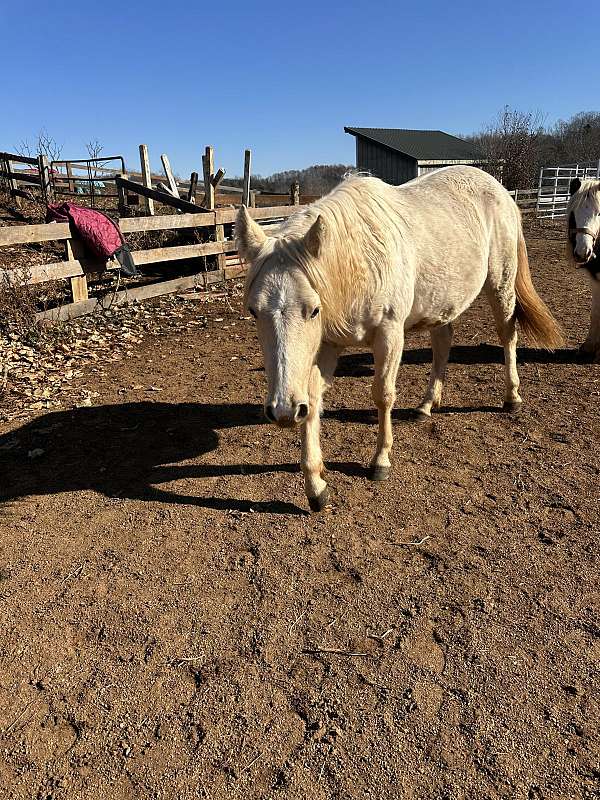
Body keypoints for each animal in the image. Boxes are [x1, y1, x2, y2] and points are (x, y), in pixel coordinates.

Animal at [237, 167, 564, 512]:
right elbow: (312, 403)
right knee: (443, 344)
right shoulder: (327, 345)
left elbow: (383, 395)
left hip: (500, 284)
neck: (360, 262)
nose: (283, 412)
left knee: (507, 335)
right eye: (254, 311)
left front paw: (380, 461)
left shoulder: (389, 334)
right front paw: (316, 486)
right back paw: (426, 405)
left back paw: (512, 397)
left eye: (313, 310)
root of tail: (500, 190)